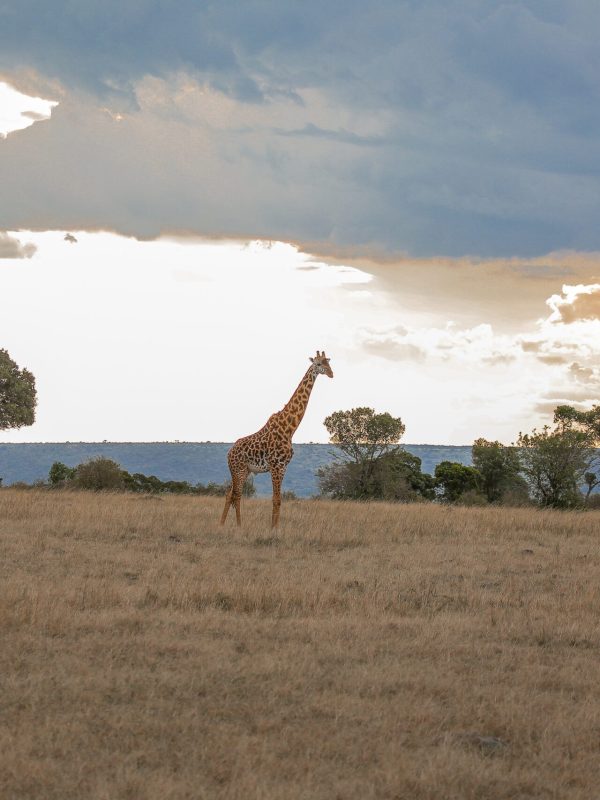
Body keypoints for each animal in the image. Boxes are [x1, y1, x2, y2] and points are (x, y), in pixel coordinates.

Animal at [220, 352, 332, 528]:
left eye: (329, 362)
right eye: (319, 363)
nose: (331, 373)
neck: (290, 429)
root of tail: (229, 453)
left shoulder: (283, 467)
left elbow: (279, 500)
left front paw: (275, 527)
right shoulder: (275, 466)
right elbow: (276, 500)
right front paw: (274, 528)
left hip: (245, 471)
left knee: (230, 494)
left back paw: (222, 524)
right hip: (238, 470)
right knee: (236, 495)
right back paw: (238, 525)